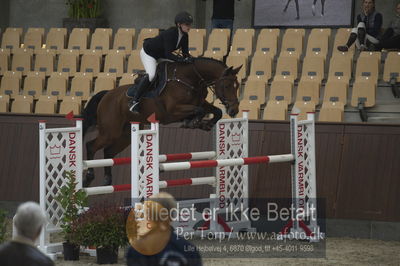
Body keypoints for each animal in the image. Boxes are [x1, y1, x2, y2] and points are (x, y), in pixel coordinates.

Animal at [82, 57, 241, 187]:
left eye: (238, 86)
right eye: (227, 86)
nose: (234, 110)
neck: (191, 78)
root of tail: (106, 94)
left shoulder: (200, 103)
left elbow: (216, 111)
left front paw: (205, 124)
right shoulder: (173, 110)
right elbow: (199, 111)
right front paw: (193, 122)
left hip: (125, 135)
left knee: (108, 151)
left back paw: (107, 180)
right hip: (110, 131)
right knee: (91, 145)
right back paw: (89, 177)